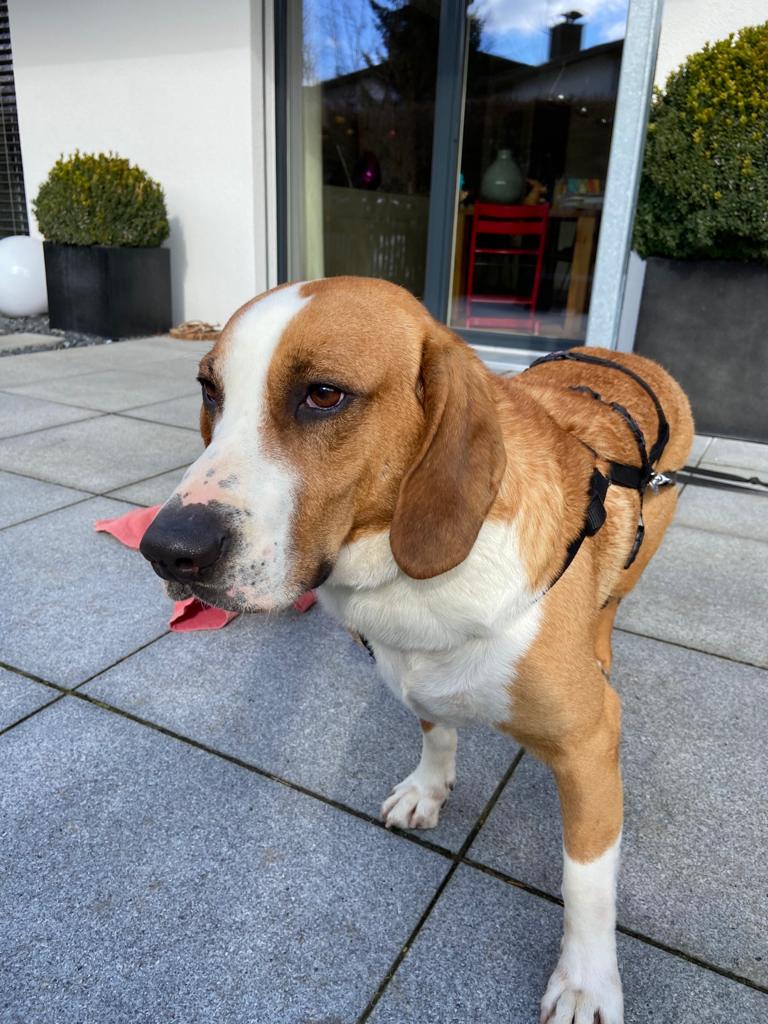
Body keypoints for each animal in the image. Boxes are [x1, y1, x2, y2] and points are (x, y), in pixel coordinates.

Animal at [140, 277, 694, 1023]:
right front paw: (430, 789)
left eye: (323, 394)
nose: (166, 549)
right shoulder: (413, 671)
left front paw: (585, 981)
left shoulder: (589, 746)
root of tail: (624, 354)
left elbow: (586, 881)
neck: (410, 580)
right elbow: (435, 729)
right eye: (209, 390)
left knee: (613, 600)